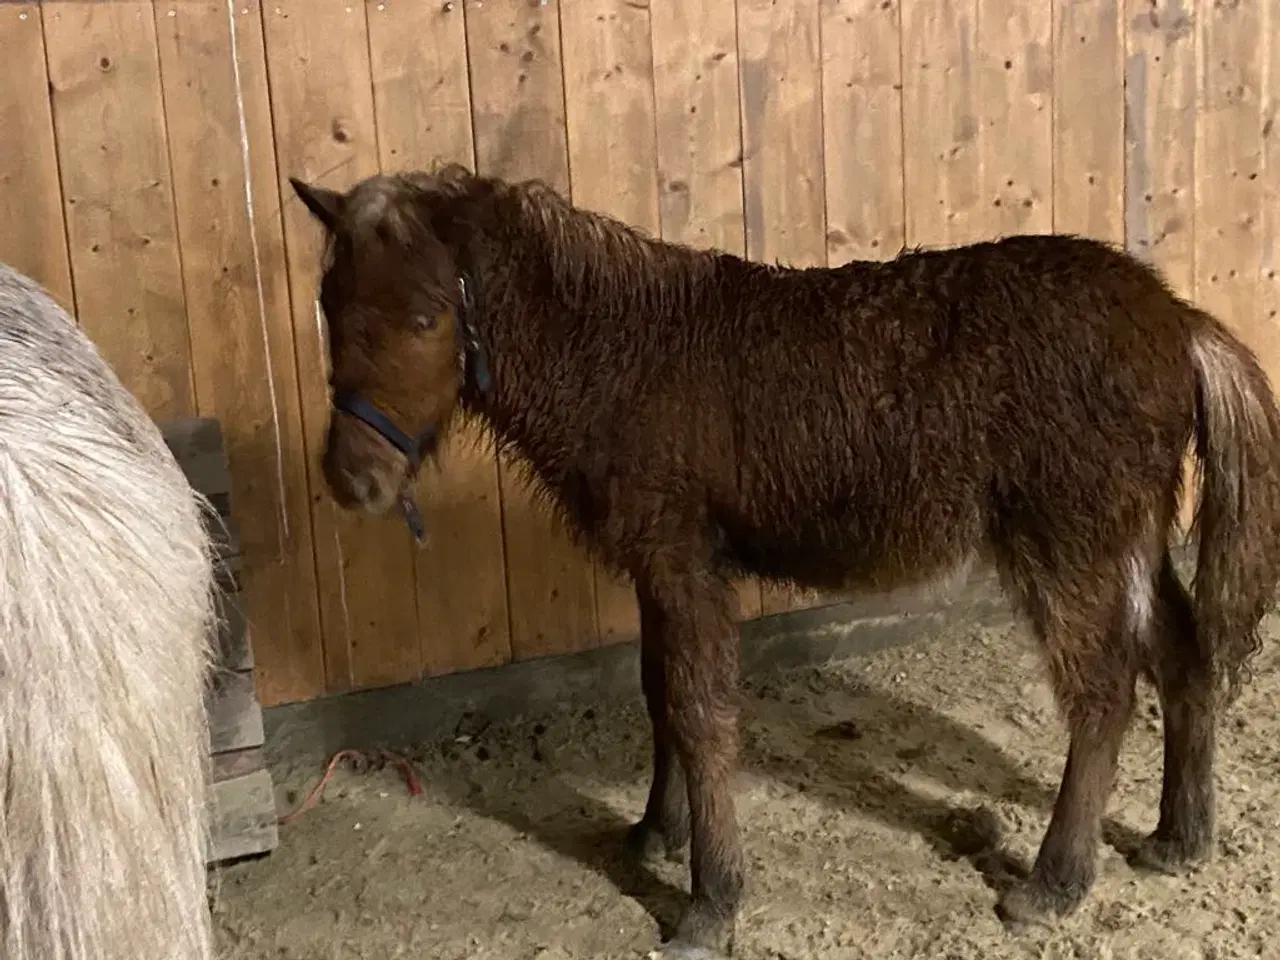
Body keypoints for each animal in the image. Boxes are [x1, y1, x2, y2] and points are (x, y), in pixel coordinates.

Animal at [288, 168, 1280, 957]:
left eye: (427, 316)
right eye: (328, 308)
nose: (354, 479)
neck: (622, 354)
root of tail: (1178, 320)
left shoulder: (683, 560)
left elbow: (700, 712)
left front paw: (710, 903)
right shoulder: (658, 564)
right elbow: (659, 694)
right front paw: (655, 833)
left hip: (1067, 543)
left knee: (1104, 691)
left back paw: (1055, 882)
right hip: (1129, 537)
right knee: (1183, 657)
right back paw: (1178, 838)